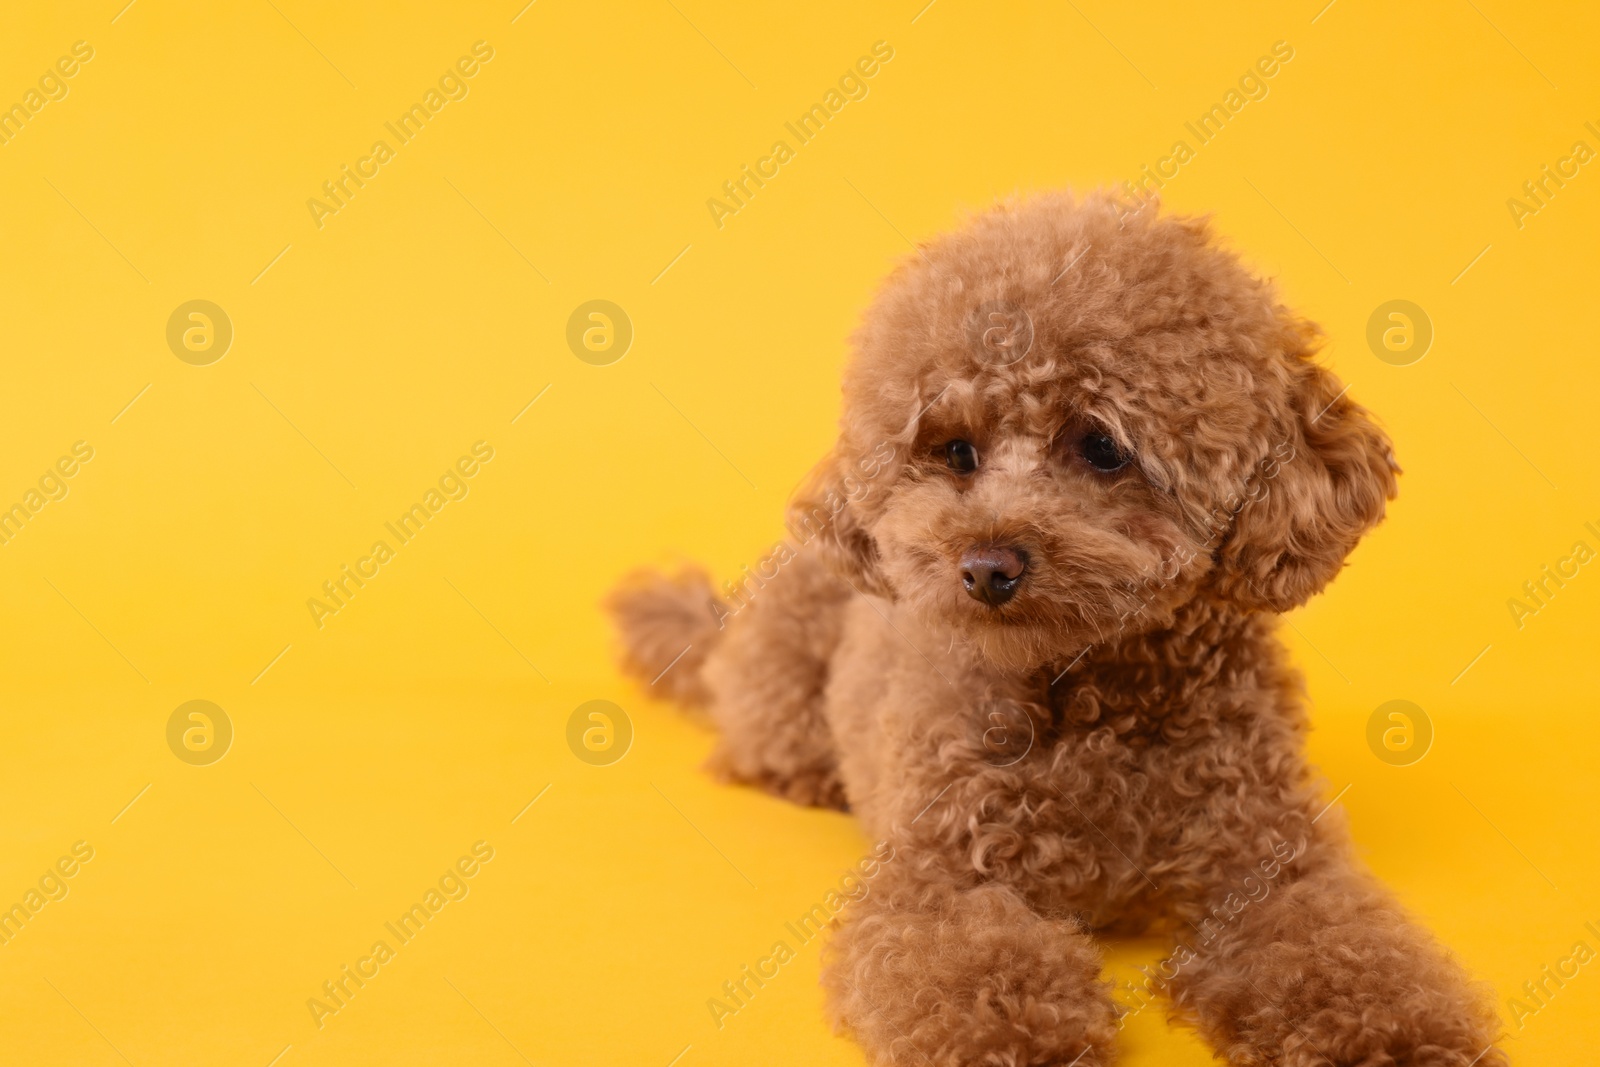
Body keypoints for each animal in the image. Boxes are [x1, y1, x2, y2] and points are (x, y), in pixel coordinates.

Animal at [604, 194, 1504, 1067]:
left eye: (1102, 446)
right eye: (954, 450)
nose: (987, 566)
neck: (1095, 696)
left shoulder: (1271, 859)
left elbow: (1339, 947)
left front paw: (1393, 1031)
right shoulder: (938, 874)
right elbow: (972, 966)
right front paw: (1013, 1036)